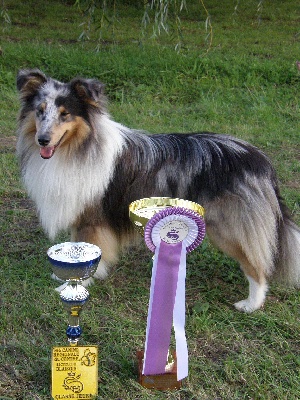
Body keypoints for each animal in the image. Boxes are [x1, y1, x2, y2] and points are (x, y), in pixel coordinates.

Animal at [17, 69, 300, 312]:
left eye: (65, 114)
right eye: (40, 111)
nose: (42, 140)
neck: (78, 146)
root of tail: (259, 160)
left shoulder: (92, 217)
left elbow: (89, 248)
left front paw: (76, 285)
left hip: (229, 228)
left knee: (257, 266)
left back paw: (251, 304)